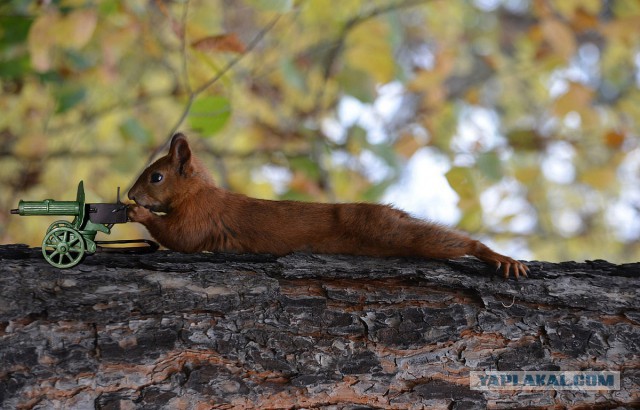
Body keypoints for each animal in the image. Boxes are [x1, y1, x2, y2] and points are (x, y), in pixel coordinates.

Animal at [127, 135, 528, 278]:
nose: (131, 194)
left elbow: (181, 238)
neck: (198, 191)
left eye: (156, 177)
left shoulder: (202, 215)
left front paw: (139, 213)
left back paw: (494, 255)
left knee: (448, 241)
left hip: (385, 229)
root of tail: (392, 211)